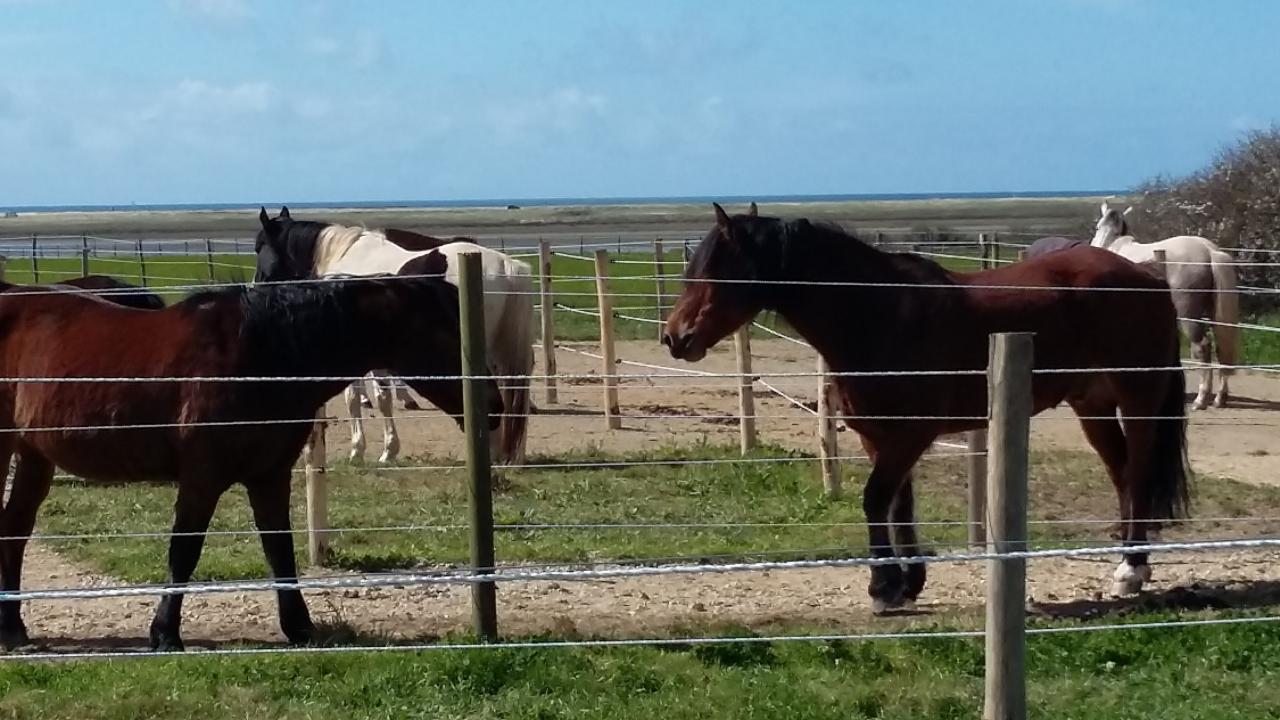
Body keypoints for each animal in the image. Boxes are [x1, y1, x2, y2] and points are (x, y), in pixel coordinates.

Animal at [0, 253, 501, 650]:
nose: (493, 405)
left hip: (35, 456)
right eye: (446, 332)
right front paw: (165, 633)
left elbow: (279, 549)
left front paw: (300, 628)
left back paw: (14, 627)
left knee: (15, 528)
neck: (261, 357)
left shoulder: (269, 475)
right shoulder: (202, 478)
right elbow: (184, 551)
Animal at [254, 207, 535, 466]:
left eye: (259, 247)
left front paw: (369, 451)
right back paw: (510, 455)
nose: (257, 285)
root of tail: (507, 267)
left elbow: (363, 399)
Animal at [665, 202, 1192, 609]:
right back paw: (1130, 563)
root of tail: (1145, 277)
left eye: (715, 272)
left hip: (1138, 401)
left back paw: (1130, 570)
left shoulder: (910, 436)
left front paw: (882, 586)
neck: (880, 315)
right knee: (1122, 475)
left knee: (1138, 475)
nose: (675, 337)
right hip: (1093, 406)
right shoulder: (879, 436)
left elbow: (875, 500)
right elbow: (900, 505)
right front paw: (908, 582)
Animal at [1090, 199, 1239, 409]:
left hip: (1188, 315)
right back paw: (1220, 398)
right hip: (1214, 314)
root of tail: (1209, 251)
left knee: (1202, 347)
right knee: (1220, 348)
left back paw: (1201, 399)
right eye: (1098, 227)